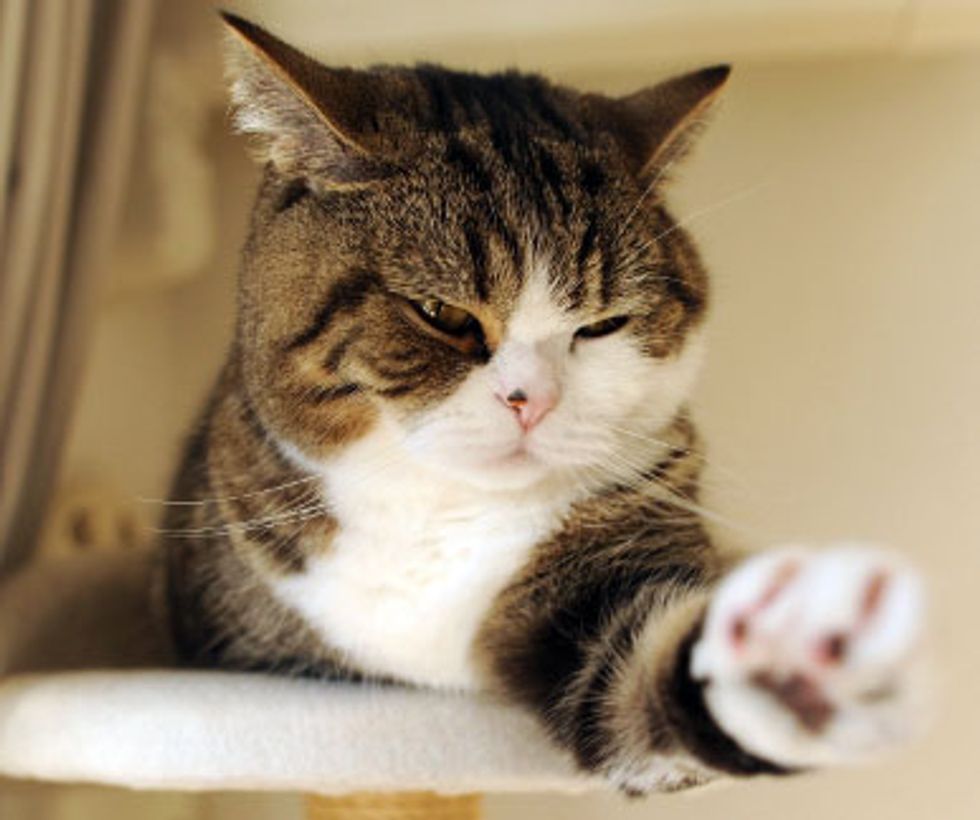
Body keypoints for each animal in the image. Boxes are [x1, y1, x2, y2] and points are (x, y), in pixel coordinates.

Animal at [157, 12, 932, 796]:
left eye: (603, 324)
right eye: (443, 313)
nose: (531, 402)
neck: (444, 517)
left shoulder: (613, 559)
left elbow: (636, 665)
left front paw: (792, 654)